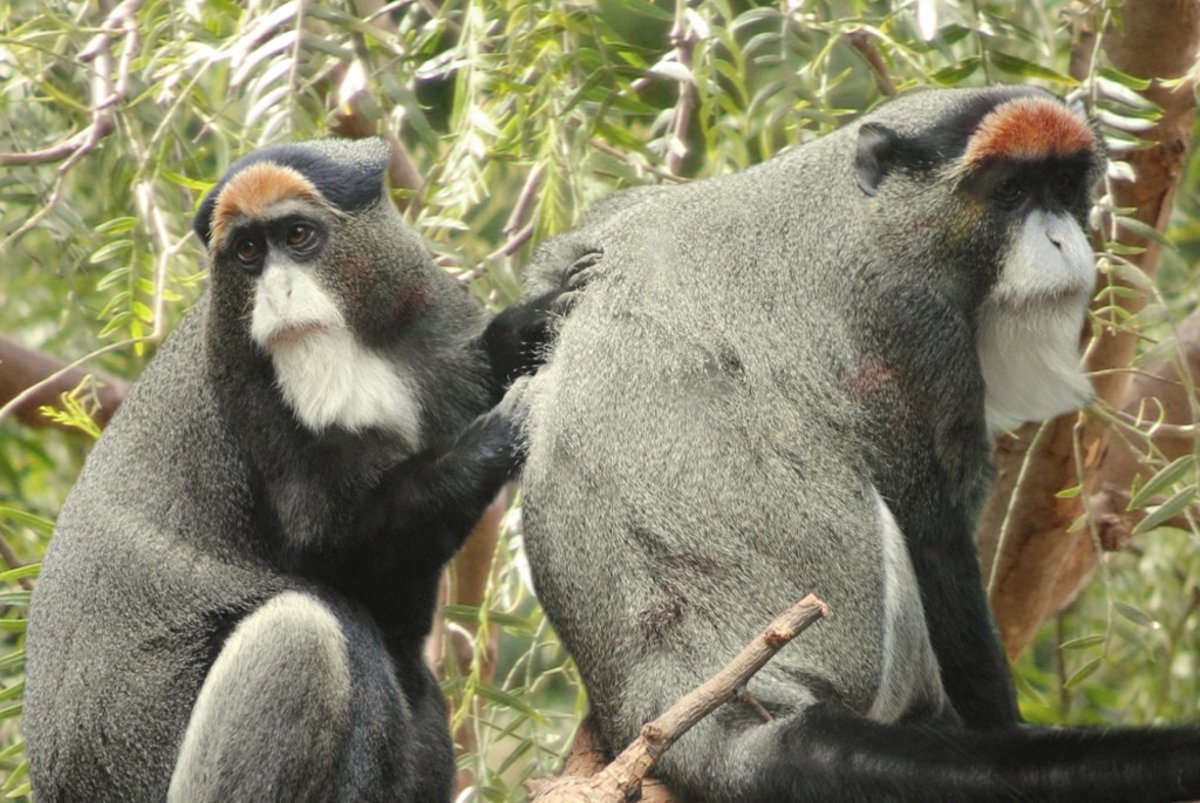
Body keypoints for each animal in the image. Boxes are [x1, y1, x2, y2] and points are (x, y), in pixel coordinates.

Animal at [22, 136, 595, 802]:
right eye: (248, 252)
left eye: (298, 236)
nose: (278, 294)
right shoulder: (248, 399)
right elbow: (336, 559)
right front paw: (499, 435)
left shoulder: (433, 331)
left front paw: (535, 324)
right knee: (304, 631)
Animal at [514, 86, 1200, 801]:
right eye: (1011, 192)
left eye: (1063, 187)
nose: (1062, 236)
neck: (860, 205)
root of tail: (668, 677)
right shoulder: (916, 327)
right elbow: (931, 528)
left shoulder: (617, 218)